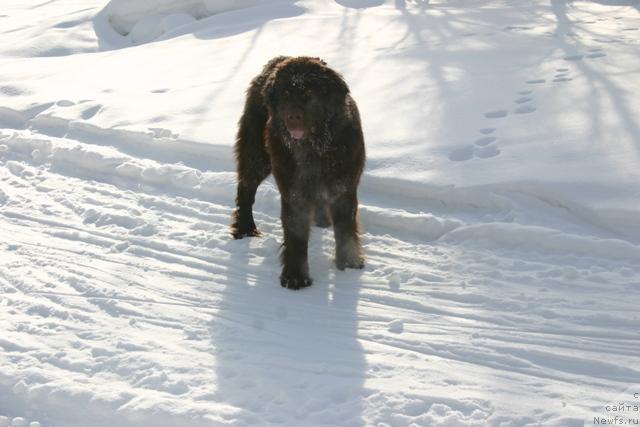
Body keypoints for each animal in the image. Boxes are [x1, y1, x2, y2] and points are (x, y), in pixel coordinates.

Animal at [232, 56, 368, 290]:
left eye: (308, 94)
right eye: (286, 93)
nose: (292, 116)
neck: (315, 148)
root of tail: (275, 60)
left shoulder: (344, 188)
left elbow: (346, 231)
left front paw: (349, 264)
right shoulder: (293, 194)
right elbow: (295, 236)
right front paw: (295, 277)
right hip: (256, 155)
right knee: (246, 189)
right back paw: (245, 229)